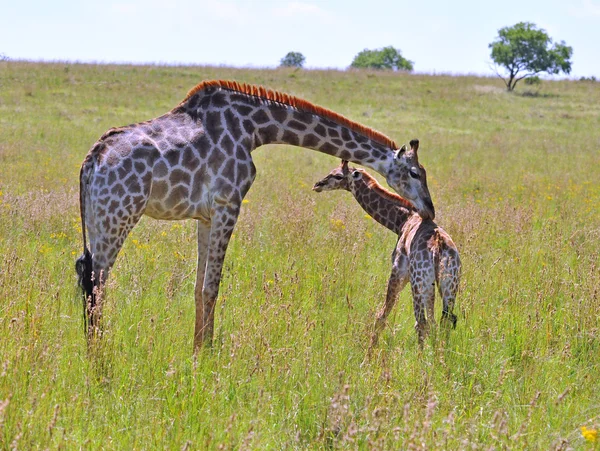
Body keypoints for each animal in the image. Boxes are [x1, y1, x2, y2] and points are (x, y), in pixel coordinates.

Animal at [76, 79, 436, 352]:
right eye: (415, 173)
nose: (430, 210)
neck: (254, 128)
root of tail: (92, 160)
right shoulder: (228, 203)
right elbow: (212, 287)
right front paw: (207, 356)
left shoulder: (206, 216)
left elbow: (198, 286)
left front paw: (197, 349)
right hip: (120, 213)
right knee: (98, 283)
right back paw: (100, 360)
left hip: (97, 218)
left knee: (85, 273)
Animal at [312, 141, 462, 346]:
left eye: (338, 175)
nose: (317, 185)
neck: (401, 220)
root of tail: (439, 247)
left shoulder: (399, 271)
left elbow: (381, 315)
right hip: (449, 283)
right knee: (445, 321)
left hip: (419, 281)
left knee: (421, 323)